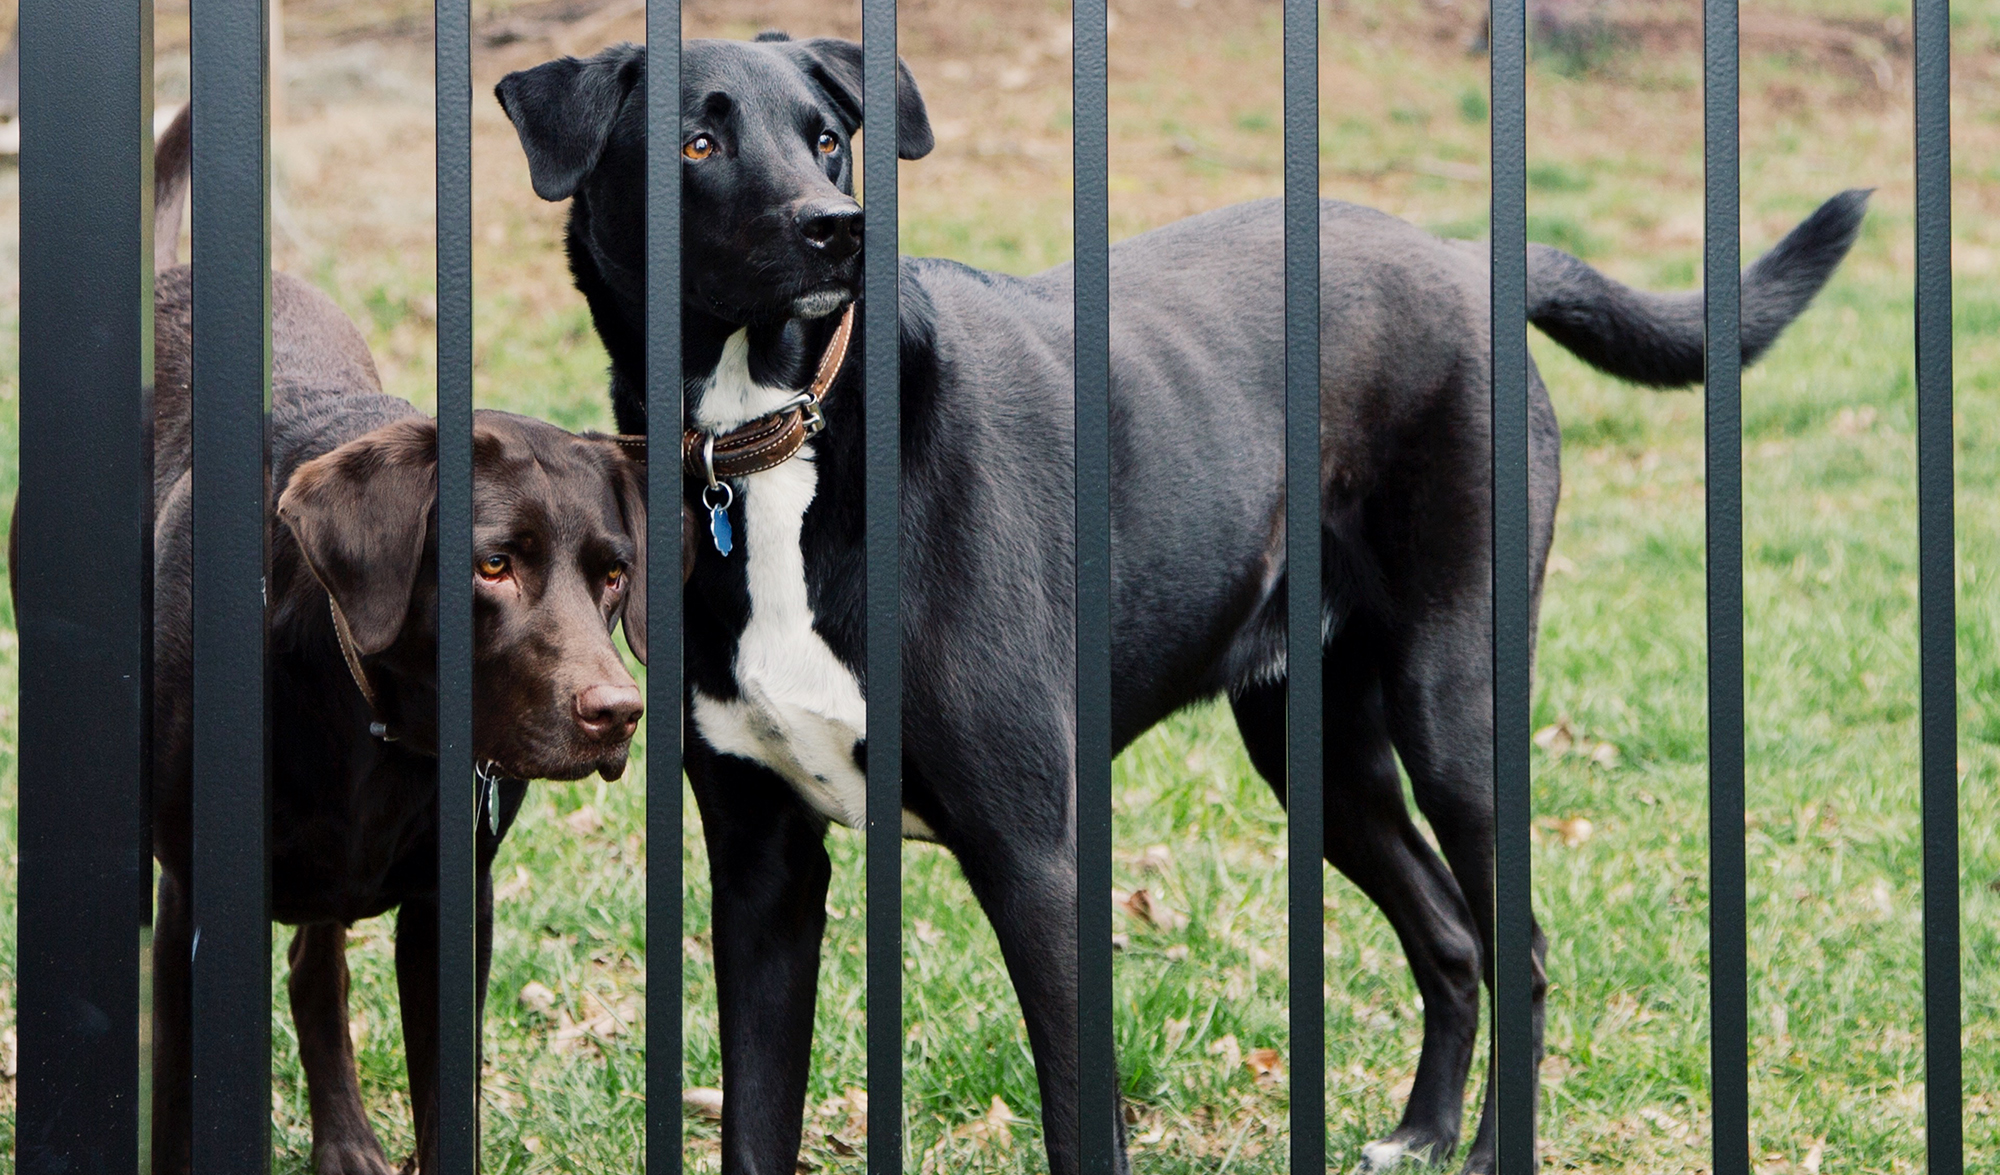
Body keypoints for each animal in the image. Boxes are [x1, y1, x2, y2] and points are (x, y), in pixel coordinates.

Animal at [496, 36, 1856, 1175]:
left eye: (826, 136)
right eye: (696, 142)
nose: (842, 227)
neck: (779, 441)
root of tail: (1468, 259)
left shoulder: (1038, 858)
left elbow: (1077, 1117)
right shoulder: (762, 867)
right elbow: (755, 1119)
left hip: (1453, 710)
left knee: (1513, 944)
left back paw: (1480, 1153)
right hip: (1316, 751)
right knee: (1451, 936)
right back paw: (1419, 1134)